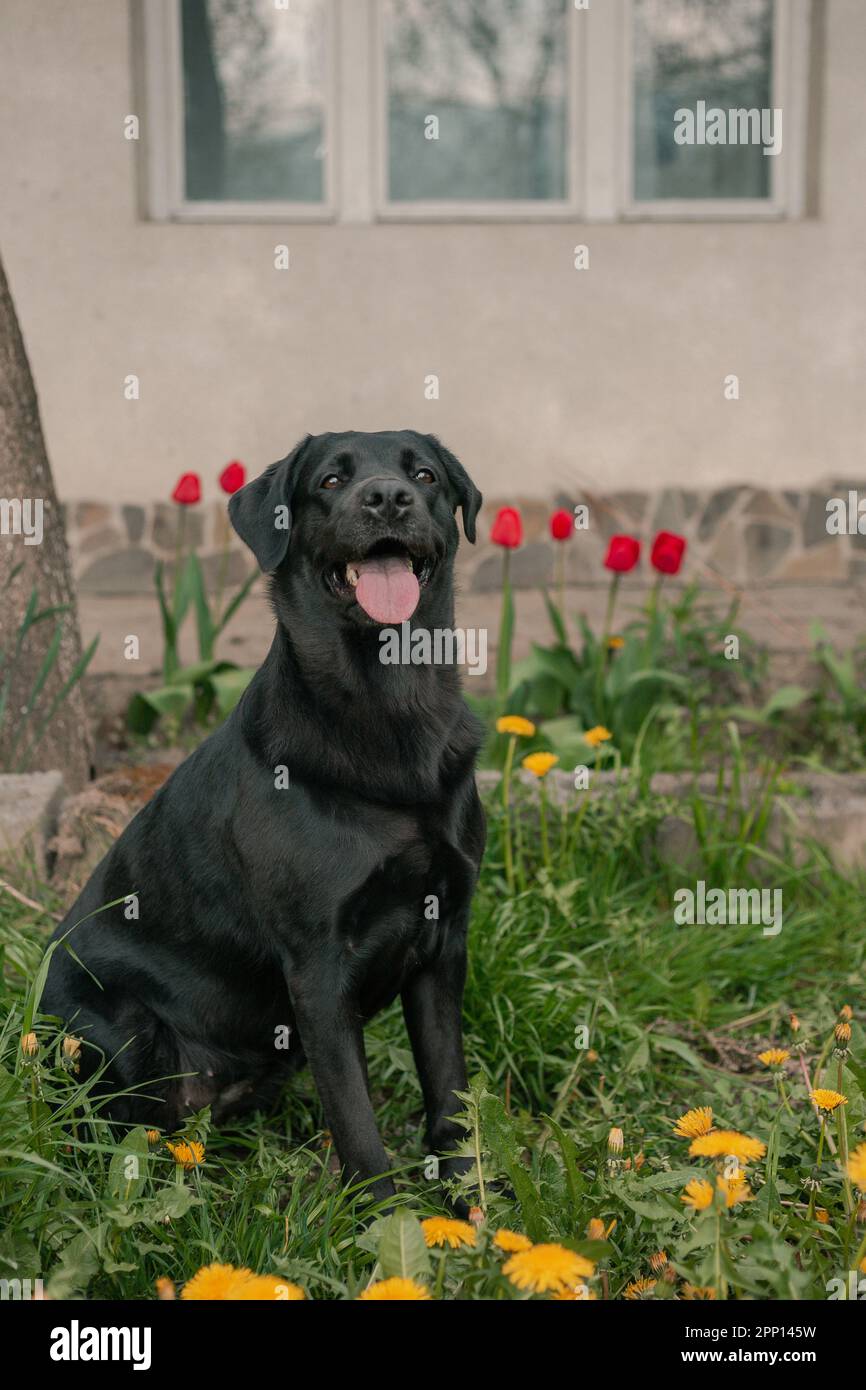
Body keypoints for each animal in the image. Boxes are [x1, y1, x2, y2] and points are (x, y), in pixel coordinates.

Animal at [42, 430, 489, 1206]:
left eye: (425, 475)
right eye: (332, 479)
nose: (388, 498)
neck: (390, 709)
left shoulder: (444, 943)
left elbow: (449, 1101)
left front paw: (473, 1214)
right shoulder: (318, 967)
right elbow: (358, 1123)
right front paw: (383, 1222)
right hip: (118, 1030)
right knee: (114, 1136)